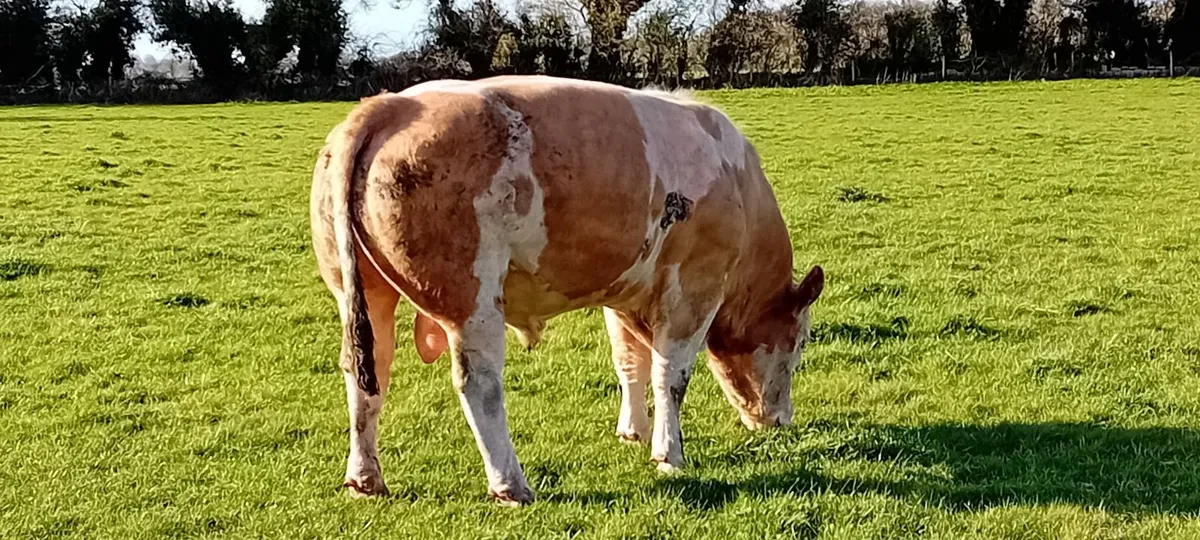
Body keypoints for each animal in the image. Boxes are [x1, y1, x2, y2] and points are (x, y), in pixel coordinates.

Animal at [310, 75, 824, 506]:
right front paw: (669, 455)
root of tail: (391, 105)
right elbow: (670, 376)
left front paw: (633, 431)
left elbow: (629, 363)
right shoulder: (695, 286)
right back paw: (511, 486)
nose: (781, 420)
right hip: (471, 298)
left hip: (360, 291)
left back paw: (365, 479)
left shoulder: (626, 293)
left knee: (366, 371)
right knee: (479, 385)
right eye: (799, 343)